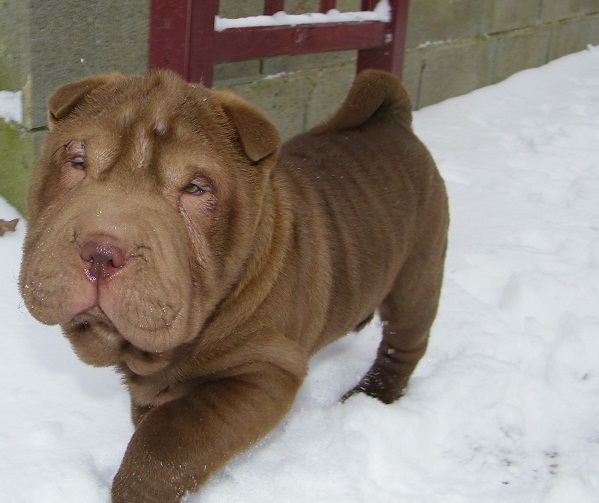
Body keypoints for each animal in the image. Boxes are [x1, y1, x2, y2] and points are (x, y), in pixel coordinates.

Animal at [19, 69, 448, 502]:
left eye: (195, 189)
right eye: (77, 162)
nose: (102, 251)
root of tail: (394, 119)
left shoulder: (264, 369)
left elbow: (166, 441)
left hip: (417, 274)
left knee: (405, 341)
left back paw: (374, 393)